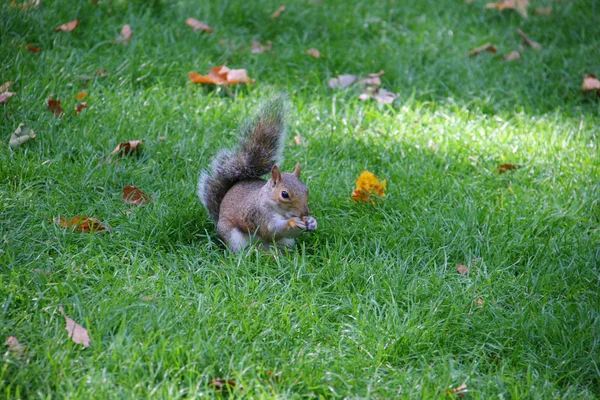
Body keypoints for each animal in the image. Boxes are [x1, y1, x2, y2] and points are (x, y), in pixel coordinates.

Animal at [197, 97, 318, 252]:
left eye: (306, 190)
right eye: (284, 194)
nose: (305, 214)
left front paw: (312, 222)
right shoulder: (258, 214)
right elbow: (271, 231)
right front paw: (292, 223)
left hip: (285, 243)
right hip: (233, 237)